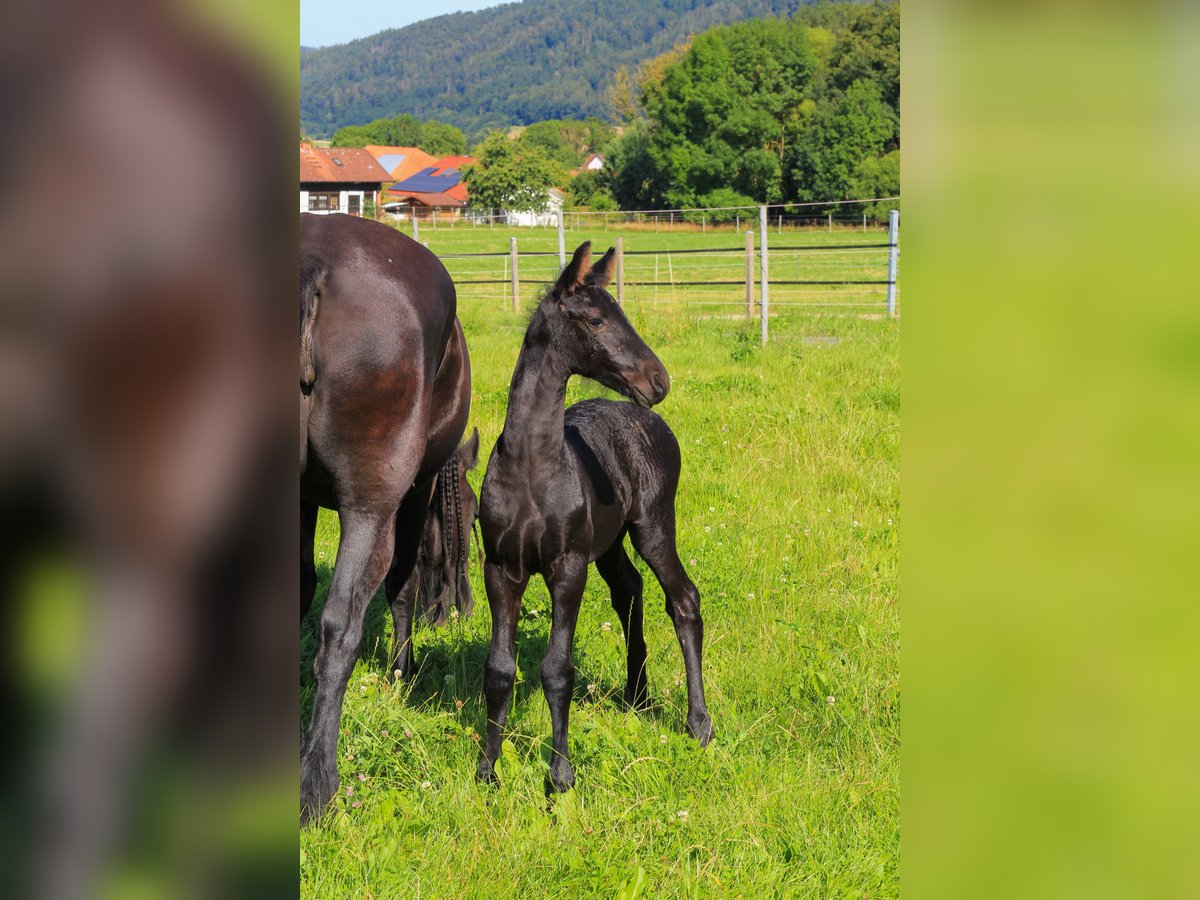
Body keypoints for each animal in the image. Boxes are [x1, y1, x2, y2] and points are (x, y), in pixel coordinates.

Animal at [472, 241, 705, 796]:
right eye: (597, 320)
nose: (658, 380)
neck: (531, 467)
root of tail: (651, 422)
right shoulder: (500, 568)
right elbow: (499, 669)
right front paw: (488, 772)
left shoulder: (567, 568)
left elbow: (558, 670)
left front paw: (560, 777)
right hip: (611, 543)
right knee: (630, 590)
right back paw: (637, 695)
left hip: (652, 528)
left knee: (683, 600)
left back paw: (699, 724)